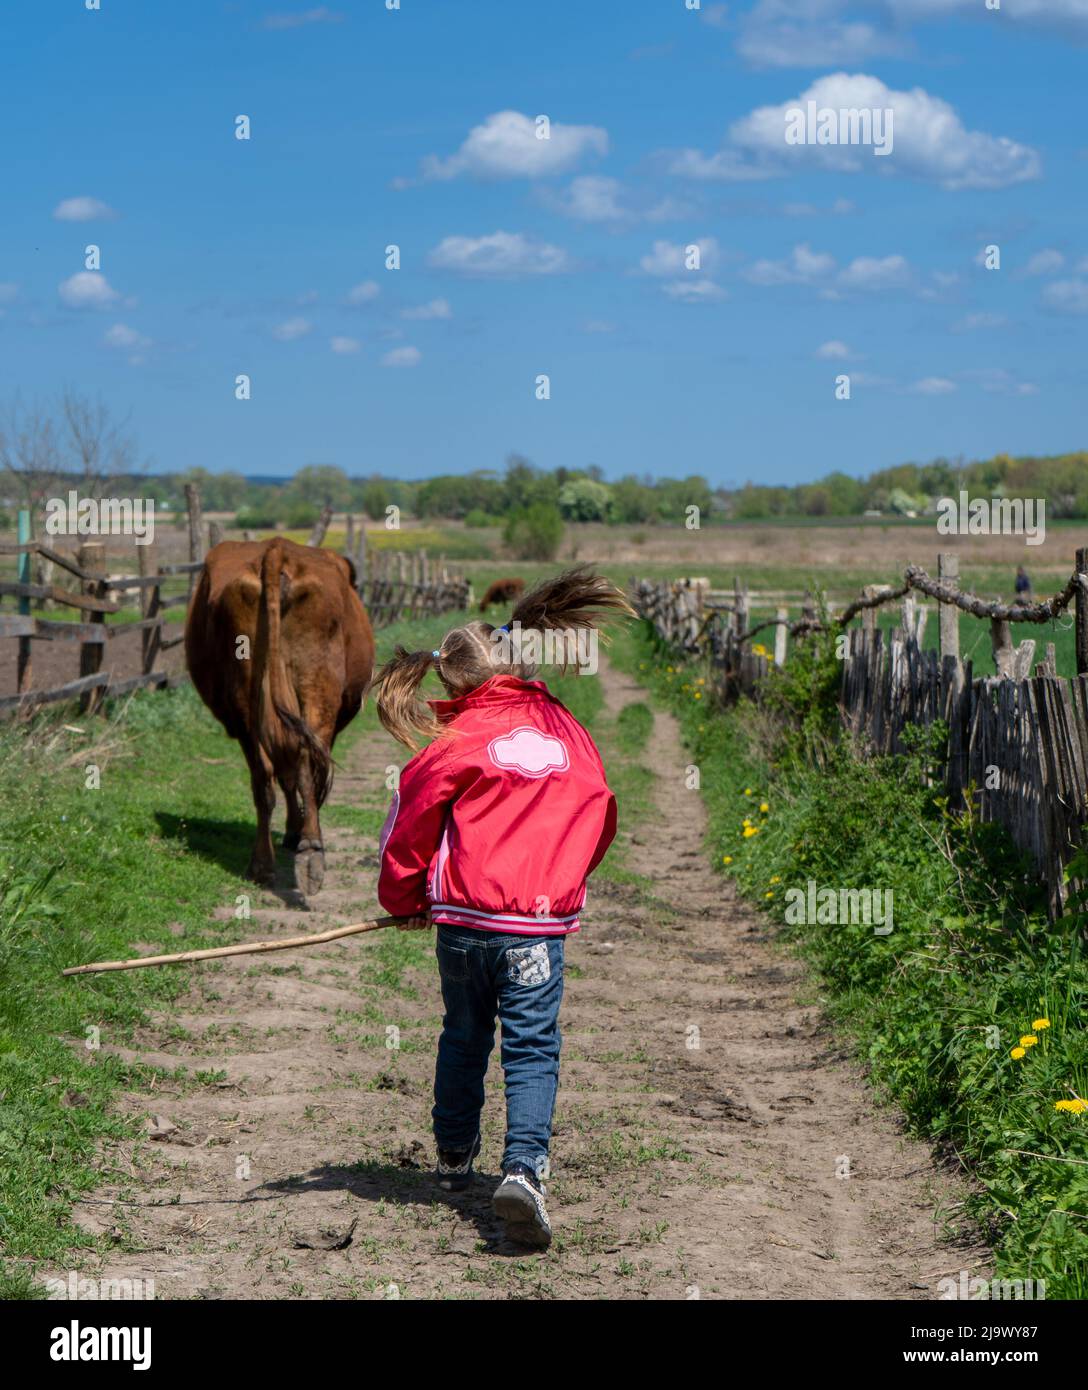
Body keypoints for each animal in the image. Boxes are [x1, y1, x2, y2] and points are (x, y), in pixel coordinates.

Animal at [187, 536, 375, 895]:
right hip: (319, 692)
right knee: (303, 765)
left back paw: (263, 865)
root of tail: (276, 550)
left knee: (264, 778)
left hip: (248, 705)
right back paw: (310, 849)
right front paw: (294, 830)